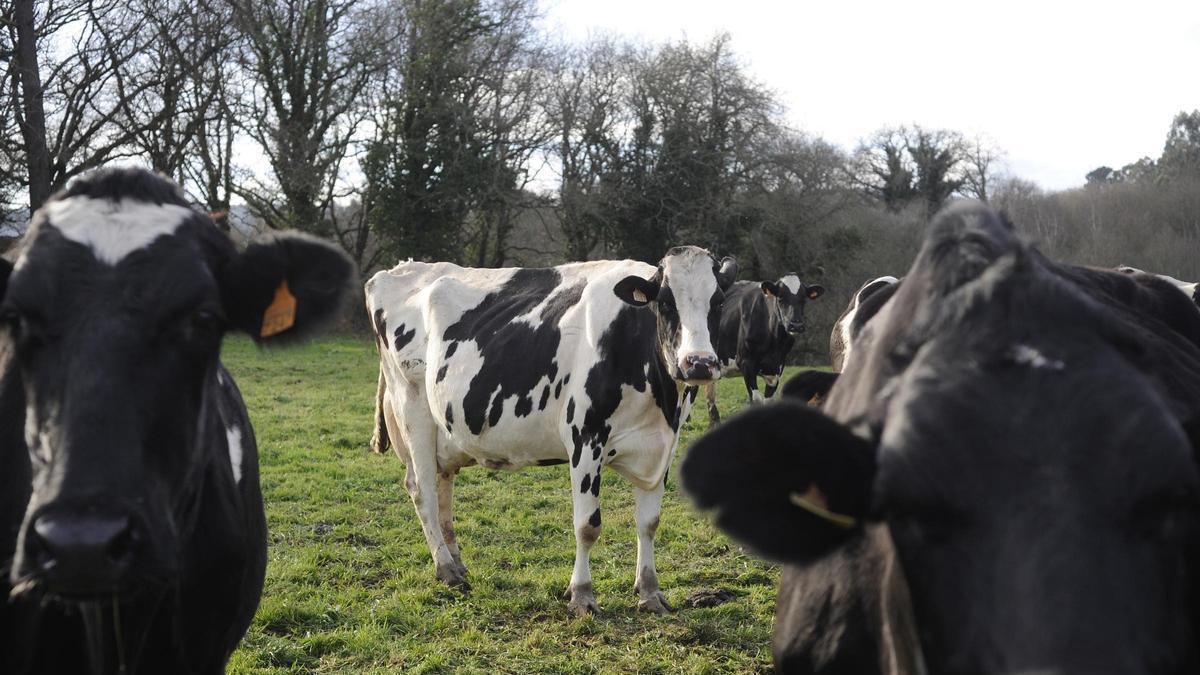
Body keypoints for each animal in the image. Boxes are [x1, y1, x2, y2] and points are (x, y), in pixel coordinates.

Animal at [367, 247, 737, 616]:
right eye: (665, 302)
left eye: (718, 302)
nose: (699, 363)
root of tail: (400, 269)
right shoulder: (585, 439)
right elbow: (587, 526)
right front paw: (582, 595)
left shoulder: (660, 446)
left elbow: (649, 522)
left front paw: (649, 592)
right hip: (412, 408)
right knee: (422, 489)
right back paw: (446, 569)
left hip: (445, 429)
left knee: (443, 485)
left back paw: (456, 563)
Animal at [704, 274, 824, 424]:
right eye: (780, 298)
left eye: (803, 299)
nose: (796, 325)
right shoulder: (746, 363)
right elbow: (756, 400)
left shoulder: (777, 368)